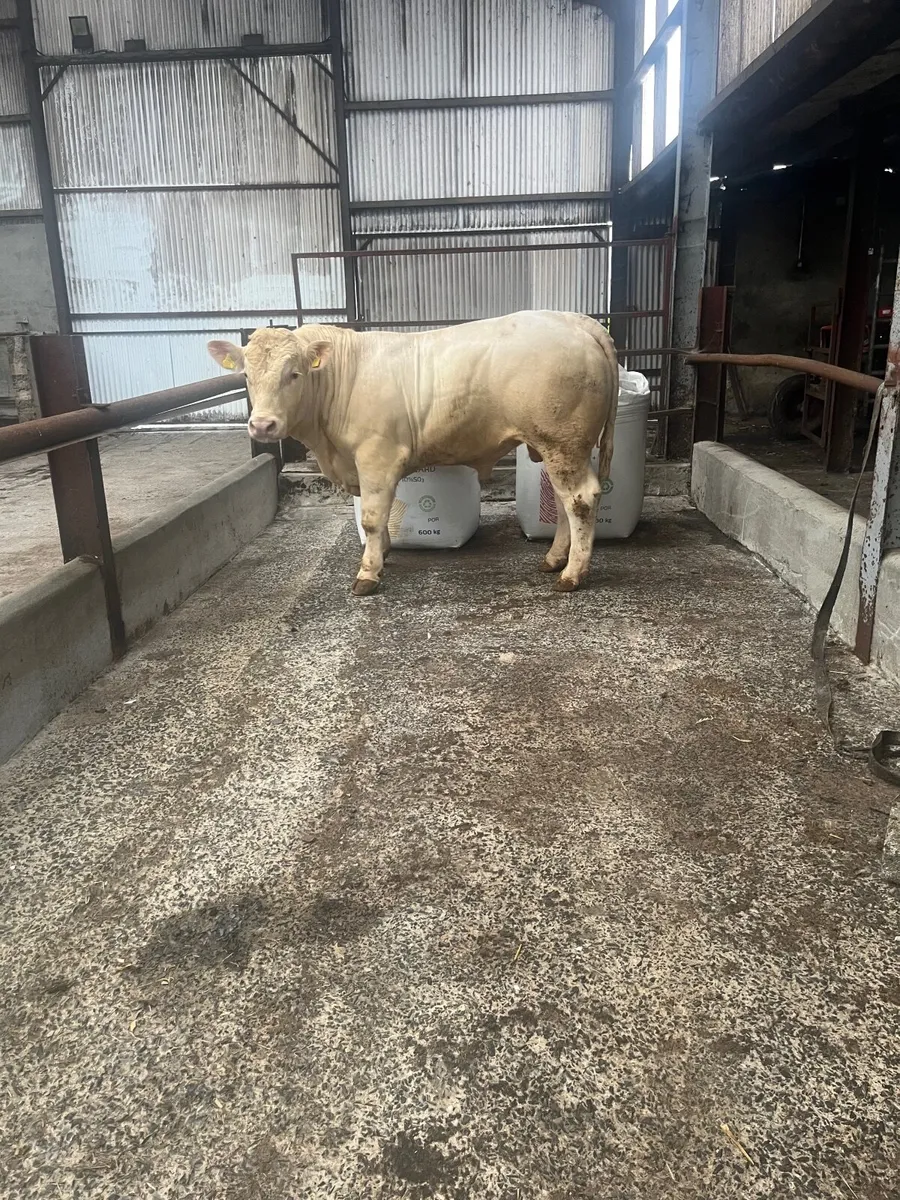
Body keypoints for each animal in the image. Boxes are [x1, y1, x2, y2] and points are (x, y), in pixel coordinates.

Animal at [208, 311, 618, 596]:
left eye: (294, 374)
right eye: (245, 376)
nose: (263, 426)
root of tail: (572, 319)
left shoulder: (377, 455)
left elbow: (373, 518)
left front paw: (368, 572)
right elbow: (378, 516)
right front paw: (384, 554)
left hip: (562, 442)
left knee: (580, 500)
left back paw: (572, 574)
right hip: (558, 447)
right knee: (565, 502)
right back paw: (554, 559)